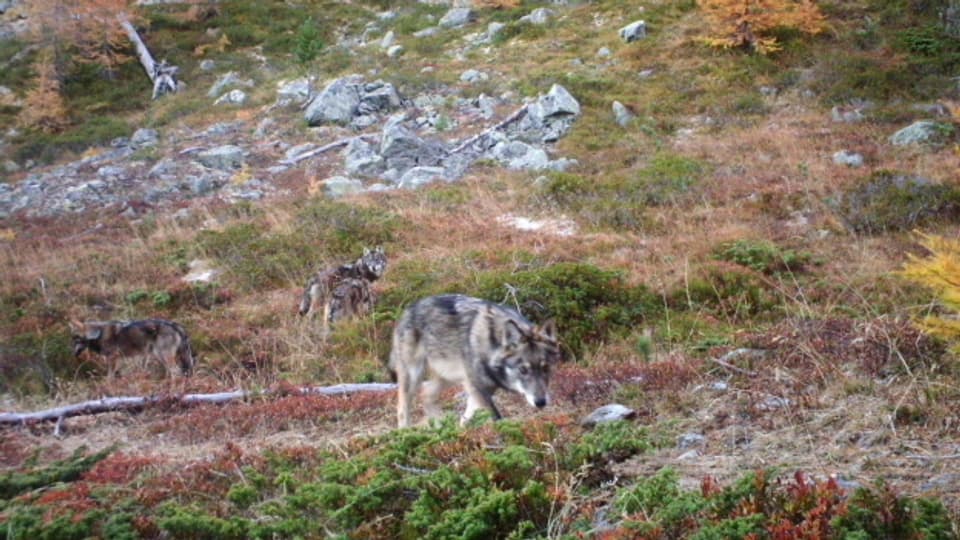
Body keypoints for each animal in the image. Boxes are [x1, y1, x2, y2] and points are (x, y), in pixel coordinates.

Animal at [386, 294, 560, 428]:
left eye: (546, 368)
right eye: (523, 370)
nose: (541, 402)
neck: (491, 344)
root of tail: (407, 310)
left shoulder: (482, 388)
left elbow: (466, 418)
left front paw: (460, 433)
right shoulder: (477, 386)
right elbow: (495, 417)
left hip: (448, 378)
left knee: (426, 395)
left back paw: (441, 427)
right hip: (413, 376)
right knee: (402, 408)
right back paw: (406, 433)